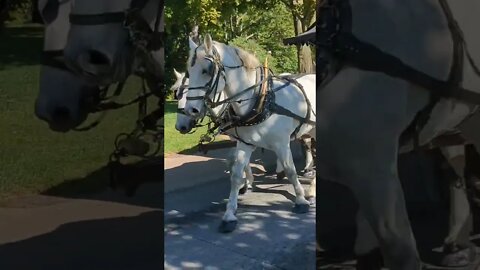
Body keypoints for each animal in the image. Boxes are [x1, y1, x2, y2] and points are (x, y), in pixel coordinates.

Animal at [183, 34, 316, 232]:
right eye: (189, 72)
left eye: (207, 70)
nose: (190, 110)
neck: (261, 100)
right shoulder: (245, 143)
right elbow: (236, 175)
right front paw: (230, 214)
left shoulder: (281, 143)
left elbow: (291, 170)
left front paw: (300, 200)